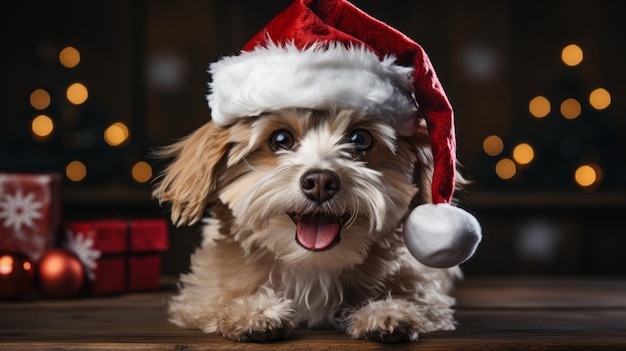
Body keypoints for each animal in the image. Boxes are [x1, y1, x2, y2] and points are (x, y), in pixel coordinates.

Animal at [153, 108, 460, 344]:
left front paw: (387, 312)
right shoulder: (199, 296)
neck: (312, 265)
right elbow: (218, 304)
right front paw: (254, 312)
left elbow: (418, 304)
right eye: (280, 139)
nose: (321, 181)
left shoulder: (426, 290)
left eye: (360, 138)